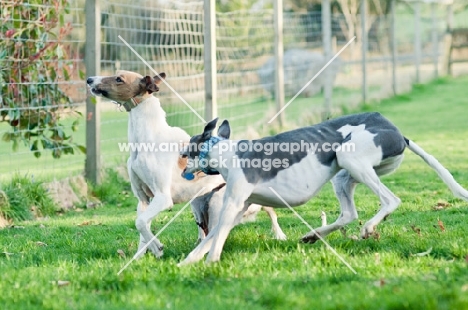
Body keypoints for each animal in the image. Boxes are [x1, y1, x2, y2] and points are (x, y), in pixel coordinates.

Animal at [87, 71, 286, 260]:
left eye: (119, 79)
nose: (89, 79)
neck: (146, 139)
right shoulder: (143, 200)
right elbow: (142, 227)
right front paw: (140, 257)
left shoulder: (162, 198)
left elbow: (141, 222)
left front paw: (157, 248)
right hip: (197, 204)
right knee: (205, 229)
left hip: (218, 203)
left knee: (266, 212)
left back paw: (279, 235)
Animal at [177, 111, 466, 264]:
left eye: (189, 148)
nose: (180, 160)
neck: (222, 150)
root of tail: (398, 133)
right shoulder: (239, 208)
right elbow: (213, 235)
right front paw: (188, 262)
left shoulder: (233, 204)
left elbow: (216, 238)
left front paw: (211, 263)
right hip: (345, 174)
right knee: (349, 213)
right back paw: (313, 235)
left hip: (351, 158)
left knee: (390, 200)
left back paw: (368, 228)